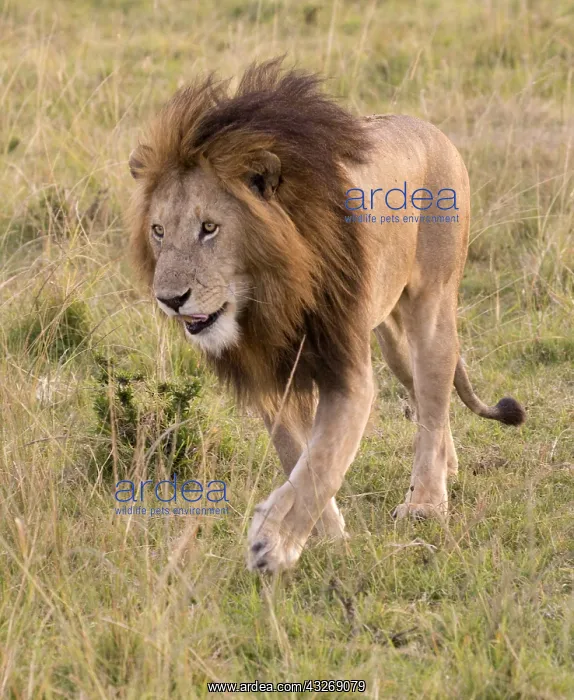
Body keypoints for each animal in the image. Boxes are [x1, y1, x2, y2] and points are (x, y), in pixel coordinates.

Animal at [127, 59, 525, 573]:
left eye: (209, 228)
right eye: (158, 231)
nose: (170, 299)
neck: (267, 298)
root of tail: (433, 130)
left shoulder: (346, 371)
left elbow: (321, 461)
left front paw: (272, 541)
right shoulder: (270, 377)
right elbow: (298, 457)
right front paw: (325, 536)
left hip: (433, 306)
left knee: (434, 398)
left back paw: (426, 503)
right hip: (393, 341)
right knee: (424, 397)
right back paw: (447, 465)